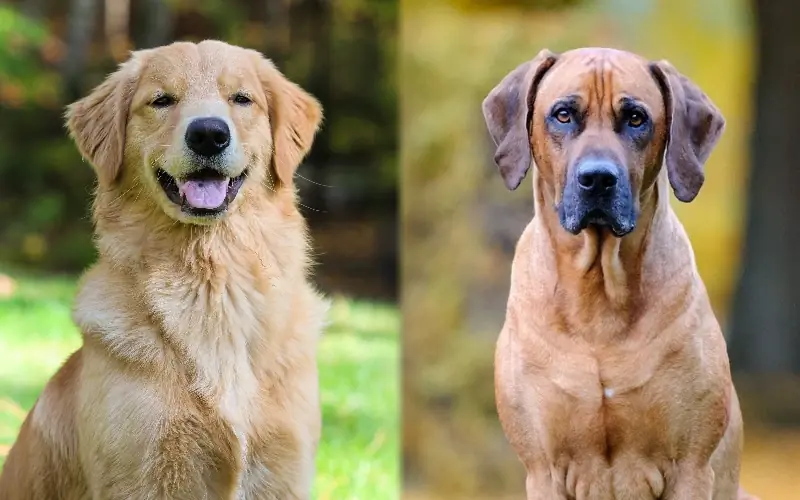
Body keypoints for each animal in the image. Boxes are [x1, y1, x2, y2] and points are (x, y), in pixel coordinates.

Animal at [0, 40, 328, 500]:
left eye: (242, 99)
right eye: (161, 100)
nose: (208, 133)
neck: (211, 282)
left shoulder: (283, 472)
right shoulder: (142, 474)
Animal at [482, 47, 756, 500]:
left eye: (636, 118)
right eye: (563, 115)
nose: (597, 178)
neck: (600, 296)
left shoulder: (691, 467)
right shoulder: (542, 469)